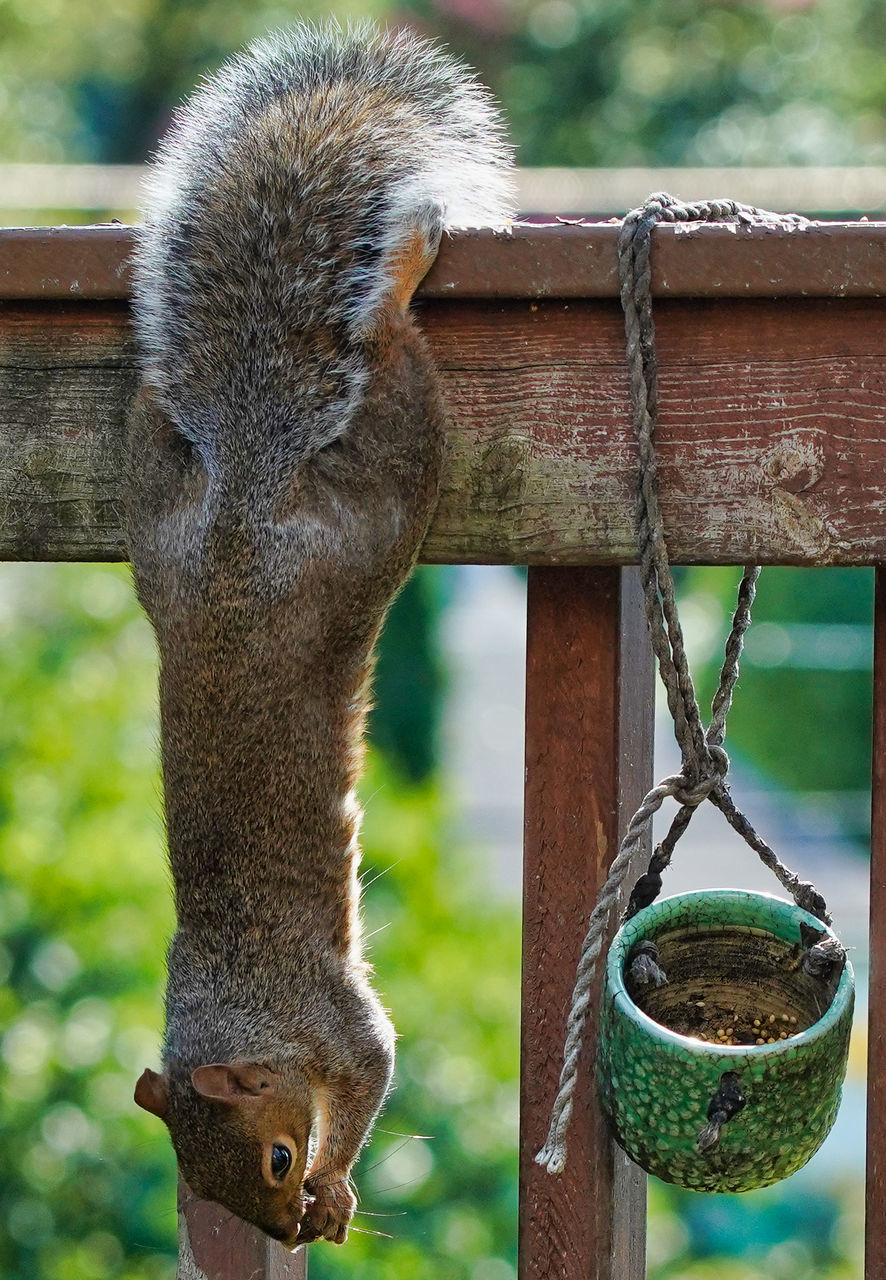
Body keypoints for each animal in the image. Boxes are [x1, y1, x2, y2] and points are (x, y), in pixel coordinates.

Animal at [122, 17, 512, 1249]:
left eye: (280, 1156)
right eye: (206, 1187)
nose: (287, 1226)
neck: (240, 998)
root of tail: (248, 491)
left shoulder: (340, 1021)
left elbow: (377, 1072)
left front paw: (341, 1184)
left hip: (385, 499)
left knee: (388, 364)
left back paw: (398, 277)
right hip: (161, 532)